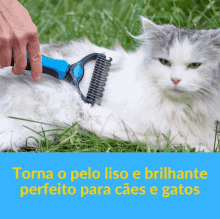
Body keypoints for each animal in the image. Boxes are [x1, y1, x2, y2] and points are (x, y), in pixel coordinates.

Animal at [0, 15, 220, 152]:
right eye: (165, 62)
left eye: (194, 65)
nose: (175, 79)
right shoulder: (114, 125)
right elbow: (175, 141)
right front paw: (202, 148)